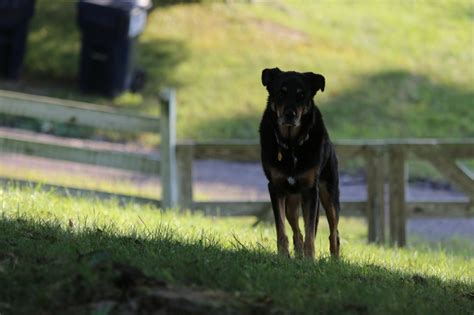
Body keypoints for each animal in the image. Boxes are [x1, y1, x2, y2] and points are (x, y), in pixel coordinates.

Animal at [260, 68, 340, 258]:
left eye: (301, 95)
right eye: (281, 93)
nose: (290, 114)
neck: (291, 145)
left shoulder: (311, 191)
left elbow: (311, 231)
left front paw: (310, 259)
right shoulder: (275, 188)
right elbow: (281, 228)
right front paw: (283, 256)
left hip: (329, 194)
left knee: (334, 231)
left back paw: (335, 259)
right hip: (291, 202)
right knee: (297, 231)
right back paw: (297, 255)